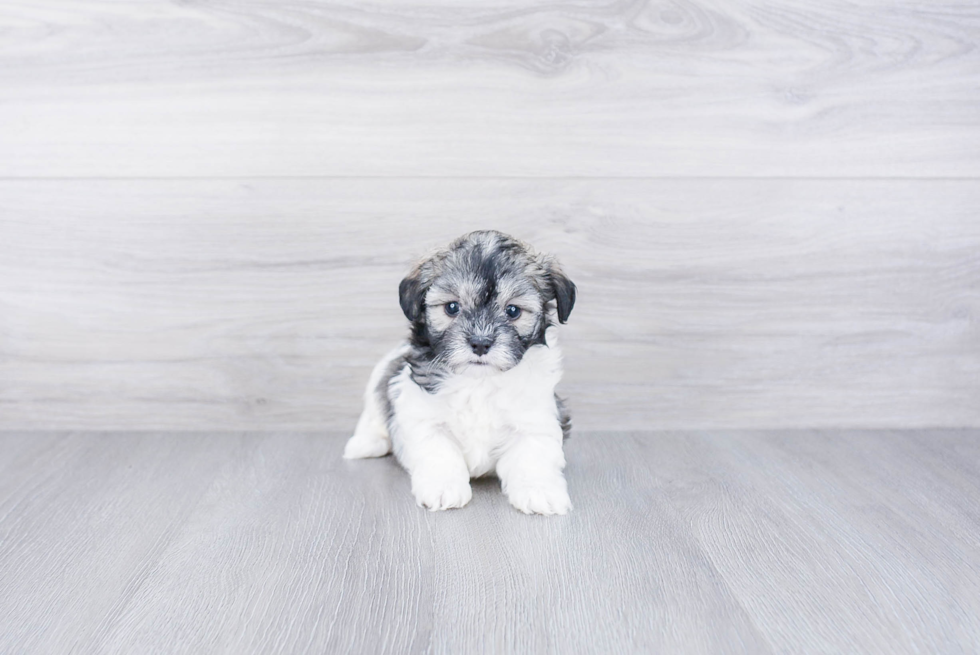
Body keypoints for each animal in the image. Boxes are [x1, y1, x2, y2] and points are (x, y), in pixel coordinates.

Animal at [344, 228, 576, 516]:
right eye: (452, 308)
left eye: (513, 311)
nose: (480, 343)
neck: (479, 382)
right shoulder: (423, 416)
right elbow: (440, 452)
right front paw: (444, 488)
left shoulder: (535, 418)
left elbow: (533, 454)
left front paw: (540, 491)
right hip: (380, 378)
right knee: (374, 414)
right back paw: (366, 443)